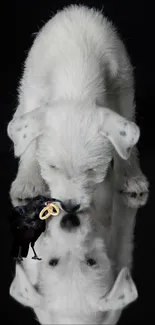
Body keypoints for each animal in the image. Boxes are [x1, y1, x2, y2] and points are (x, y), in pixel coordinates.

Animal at [7, 4, 148, 213]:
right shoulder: (34, 91)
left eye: (92, 170)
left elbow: (127, 146)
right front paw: (28, 180)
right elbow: (29, 142)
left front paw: (130, 175)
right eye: (52, 167)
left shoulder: (122, 89)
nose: (69, 206)